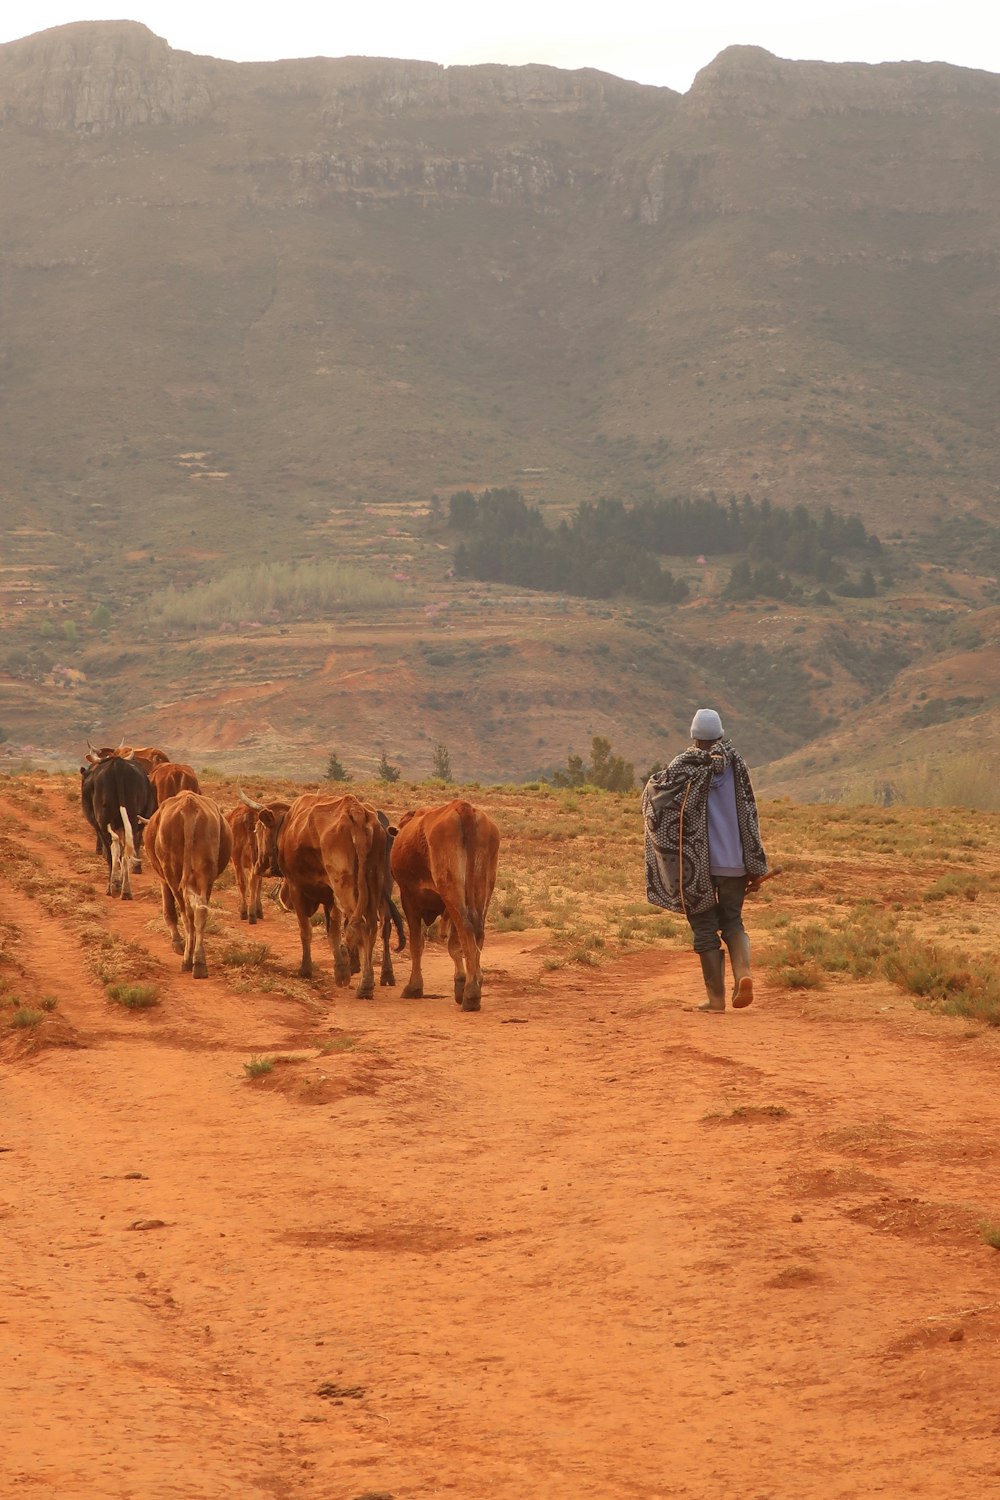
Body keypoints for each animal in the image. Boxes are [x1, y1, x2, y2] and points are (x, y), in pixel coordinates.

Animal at [80, 756, 158, 894]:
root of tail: (118, 766)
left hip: (103, 822)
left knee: (113, 849)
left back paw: (114, 886)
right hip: (131, 818)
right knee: (126, 849)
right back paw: (126, 890)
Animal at [143, 792, 233, 978]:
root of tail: (188, 803)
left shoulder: (164, 880)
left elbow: (169, 912)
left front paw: (178, 944)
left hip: (172, 873)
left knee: (186, 913)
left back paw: (187, 960)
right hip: (205, 872)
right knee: (200, 910)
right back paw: (199, 962)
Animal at [256, 798, 389, 996]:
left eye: (258, 830)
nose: (258, 865)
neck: (289, 826)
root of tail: (356, 811)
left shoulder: (297, 888)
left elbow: (306, 930)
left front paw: (305, 969)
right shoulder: (329, 896)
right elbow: (332, 932)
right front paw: (341, 971)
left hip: (344, 886)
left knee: (361, 926)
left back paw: (365, 985)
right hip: (373, 882)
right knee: (371, 927)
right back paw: (367, 981)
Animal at [389, 798, 500, 1008]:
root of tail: (463, 807)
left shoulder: (409, 898)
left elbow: (417, 944)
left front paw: (414, 987)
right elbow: (453, 946)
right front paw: (460, 983)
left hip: (452, 890)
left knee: (466, 929)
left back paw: (471, 994)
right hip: (482, 889)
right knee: (477, 933)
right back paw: (475, 984)